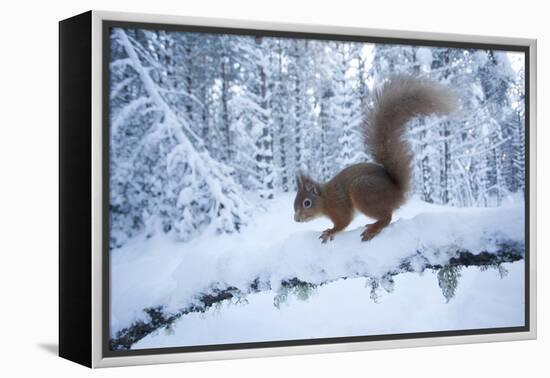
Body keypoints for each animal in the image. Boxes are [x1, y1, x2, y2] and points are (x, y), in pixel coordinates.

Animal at [296, 75, 460, 244]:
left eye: (307, 203)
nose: (296, 219)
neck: (325, 199)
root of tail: (397, 193)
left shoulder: (339, 207)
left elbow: (343, 223)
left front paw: (330, 231)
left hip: (362, 191)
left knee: (387, 217)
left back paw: (373, 229)